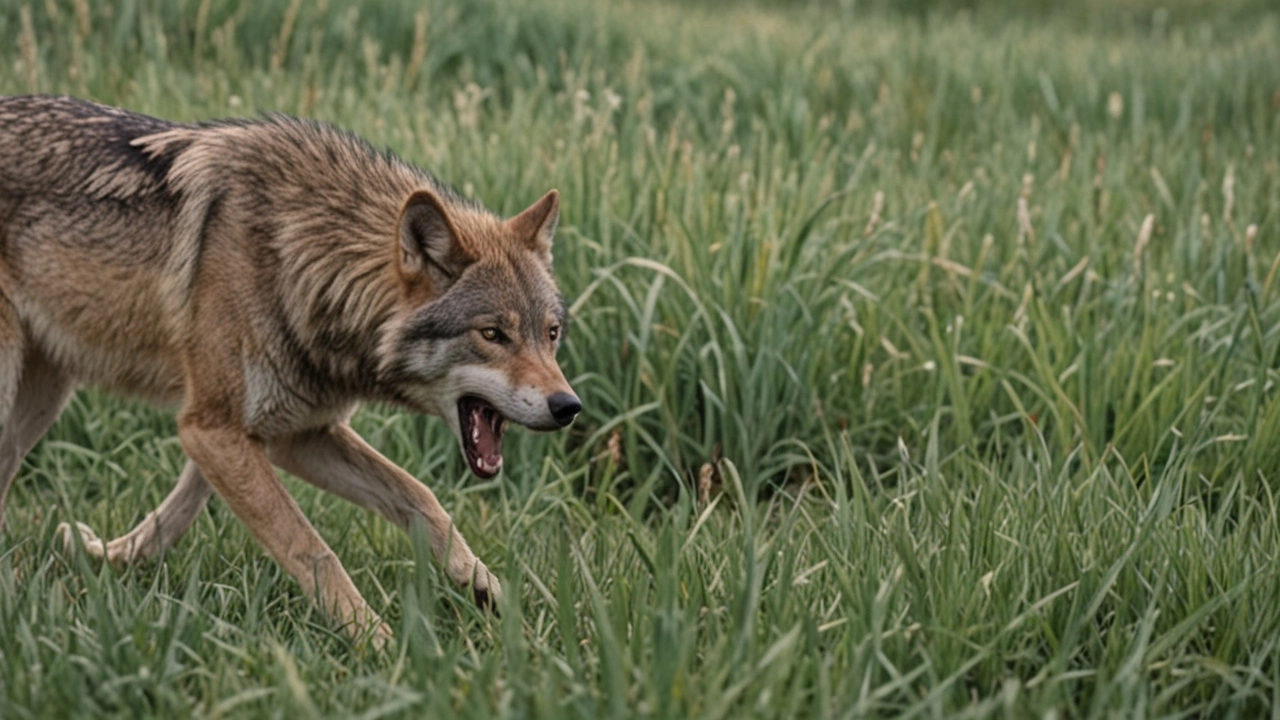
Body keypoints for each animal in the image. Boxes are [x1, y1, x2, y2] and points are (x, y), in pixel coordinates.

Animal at [0, 92, 581, 640]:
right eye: (492, 334)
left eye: (551, 334)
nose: (568, 406)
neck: (299, 257)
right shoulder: (213, 430)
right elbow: (312, 549)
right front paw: (379, 645)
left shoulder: (294, 434)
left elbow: (420, 497)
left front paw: (488, 592)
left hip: (44, 399)